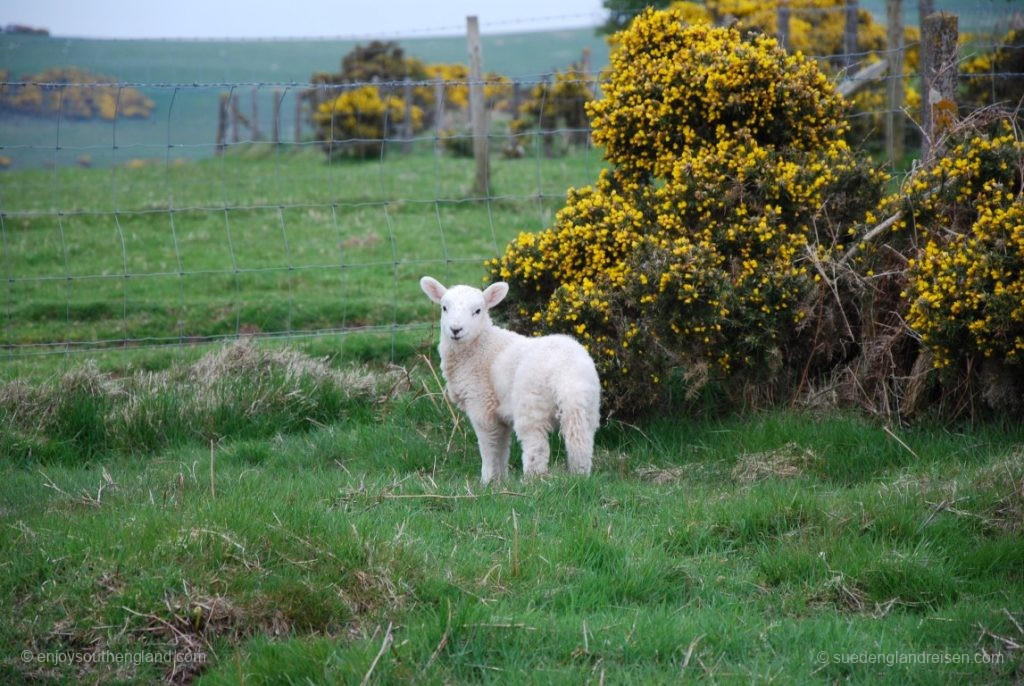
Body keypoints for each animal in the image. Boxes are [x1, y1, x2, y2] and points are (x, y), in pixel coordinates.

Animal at [420, 276, 601, 483]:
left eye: (478, 311)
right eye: (444, 308)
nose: (455, 329)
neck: (479, 346)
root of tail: (567, 374)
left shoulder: (482, 406)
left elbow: (489, 448)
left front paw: (487, 481)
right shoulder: (500, 414)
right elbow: (502, 448)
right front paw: (500, 480)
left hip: (531, 405)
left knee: (536, 448)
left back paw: (532, 481)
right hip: (586, 406)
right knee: (581, 442)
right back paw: (579, 477)